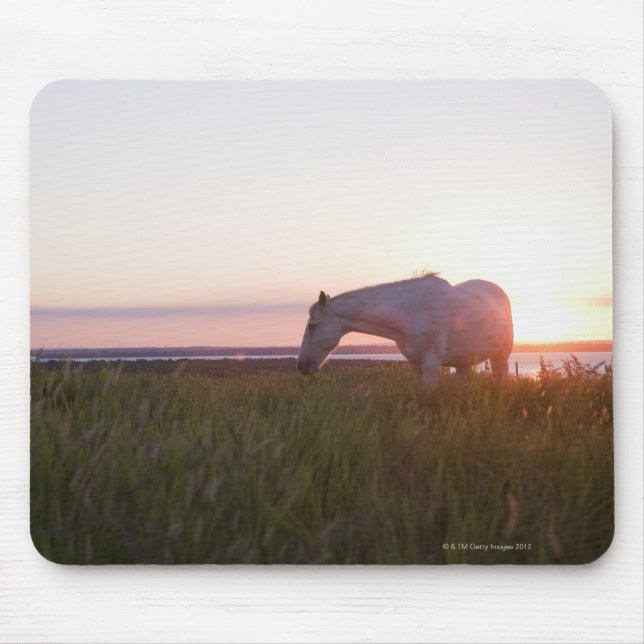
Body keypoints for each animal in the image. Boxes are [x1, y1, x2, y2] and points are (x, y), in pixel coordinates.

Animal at [296, 274, 513, 388]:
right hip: (463, 361)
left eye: (312, 325)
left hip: (501, 355)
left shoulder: (431, 363)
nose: (301, 366)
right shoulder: (414, 363)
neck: (410, 313)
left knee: (500, 378)